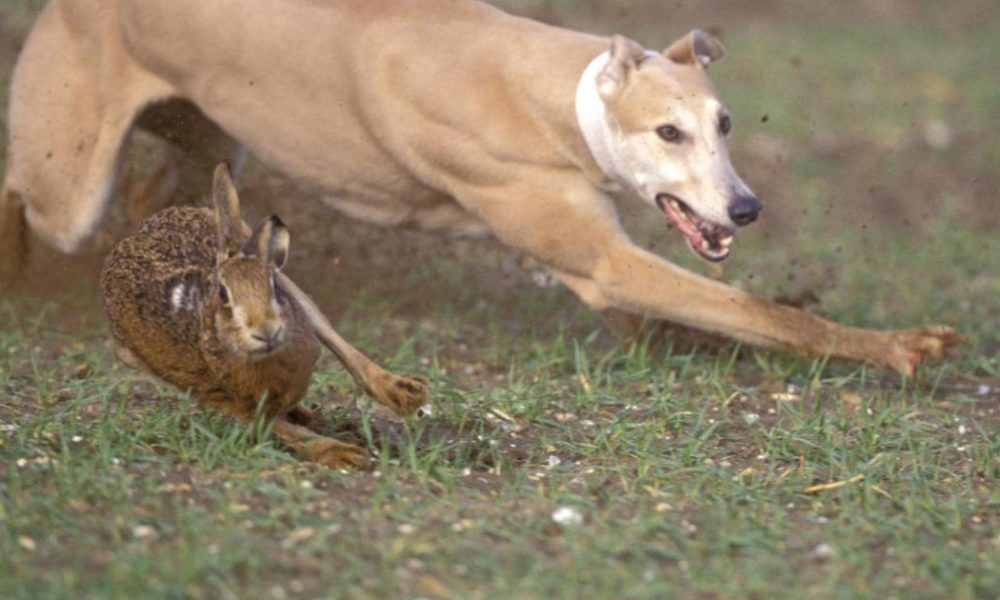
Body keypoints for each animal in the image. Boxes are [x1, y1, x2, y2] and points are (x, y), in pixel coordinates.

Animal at [101, 163, 371, 470]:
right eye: (222, 295)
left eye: (272, 285)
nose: (265, 331)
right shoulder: (229, 399)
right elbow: (282, 429)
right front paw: (344, 454)